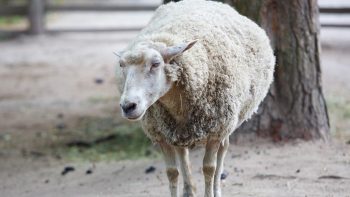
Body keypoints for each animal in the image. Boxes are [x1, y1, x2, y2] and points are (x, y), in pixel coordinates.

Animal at [116, 0, 274, 197]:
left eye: (156, 64)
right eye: (121, 65)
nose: (128, 106)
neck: (177, 105)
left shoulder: (216, 130)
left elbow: (209, 168)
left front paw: (210, 191)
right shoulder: (161, 135)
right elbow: (171, 172)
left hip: (227, 123)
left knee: (223, 151)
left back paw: (216, 189)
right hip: (176, 131)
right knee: (183, 154)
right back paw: (188, 190)